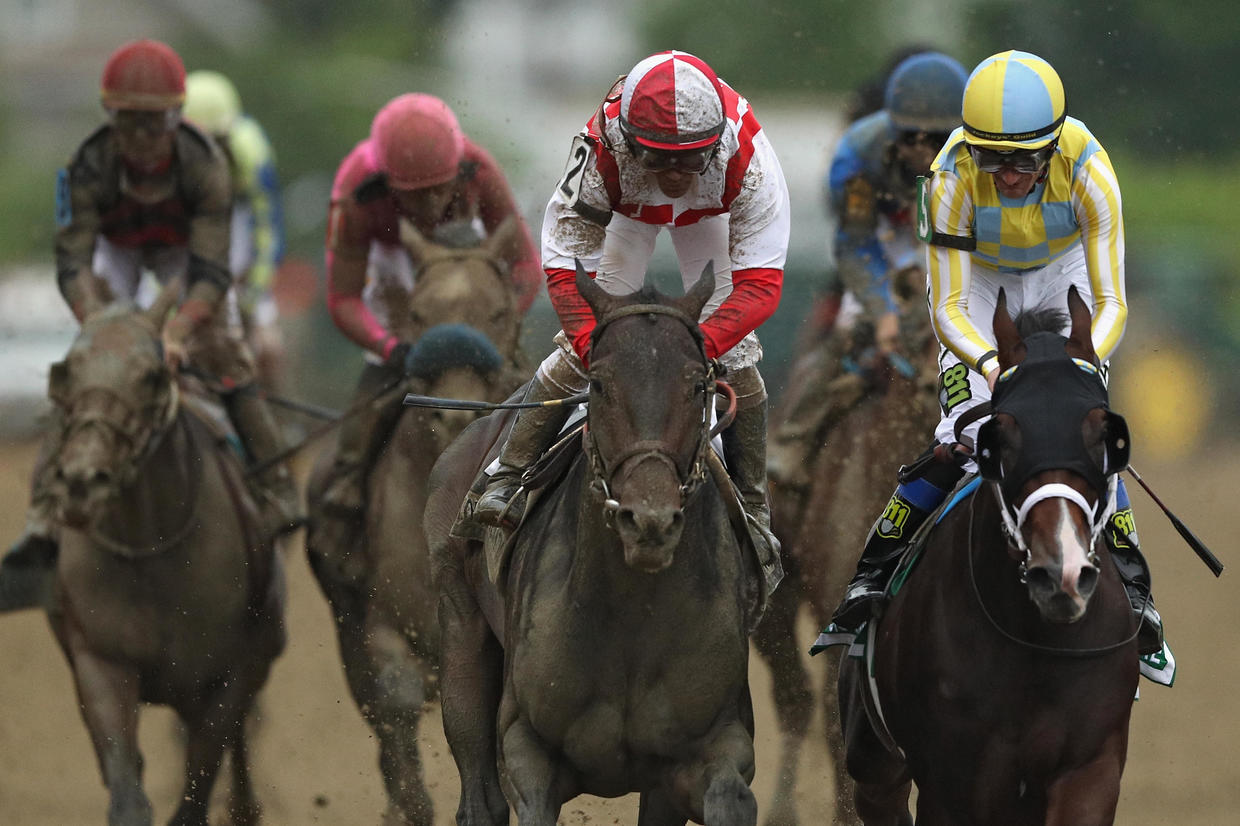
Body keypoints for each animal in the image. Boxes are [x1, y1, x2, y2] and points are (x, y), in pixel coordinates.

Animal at [36, 280, 287, 818]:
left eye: (152, 377)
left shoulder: (227, 675)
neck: (150, 551)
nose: (82, 481)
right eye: (65, 372)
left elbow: (198, 790)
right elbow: (127, 789)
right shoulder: (101, 661)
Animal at [426, 264, 763, 823]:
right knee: (479, 792)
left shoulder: (710, 750)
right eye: (599, 385)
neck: (631, 611)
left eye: (698, 385)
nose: (649, 520)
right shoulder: (527, 749)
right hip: (459, 626)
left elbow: (729, 794)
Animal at [838, 285, 1135, 823]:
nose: (1061, 574)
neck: (1034, 644)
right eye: (1003, 437)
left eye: (1104, 437)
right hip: (872, 760)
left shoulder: (1090, 769)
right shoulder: (951, 782)